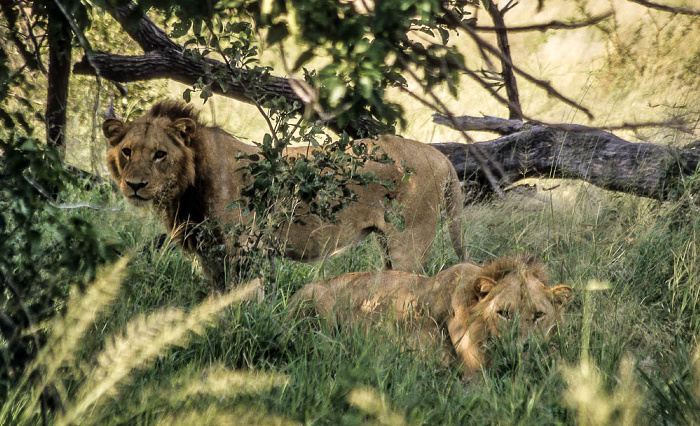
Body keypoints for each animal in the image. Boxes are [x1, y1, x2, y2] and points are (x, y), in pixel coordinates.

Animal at [104, 100, 464, 288]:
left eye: (160, 154)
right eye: (127, 151)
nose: (135, 185)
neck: (185, 192)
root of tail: (438, 154)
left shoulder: (244, 249)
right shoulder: (211, 255)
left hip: (409, 242)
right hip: (387, 243)